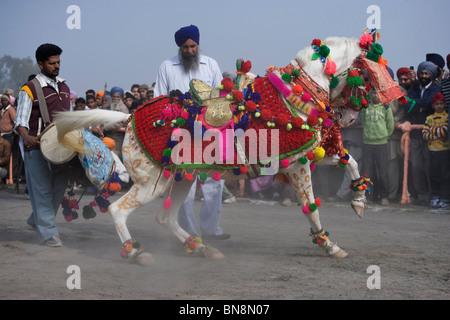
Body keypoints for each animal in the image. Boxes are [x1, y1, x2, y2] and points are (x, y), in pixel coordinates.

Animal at [51, 30, 402, 264]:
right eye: (372, 70)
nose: (354, 116)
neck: (293, 97)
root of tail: (130, 117)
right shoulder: (296, 164)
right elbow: (311, 206)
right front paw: (329, 245)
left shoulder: (303, 156)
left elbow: (351, 162)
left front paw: (359, 200)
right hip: (152, 182)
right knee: (117, 210)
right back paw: (137, 252)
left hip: (181, 178)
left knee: (165, 218)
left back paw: (201, 247)